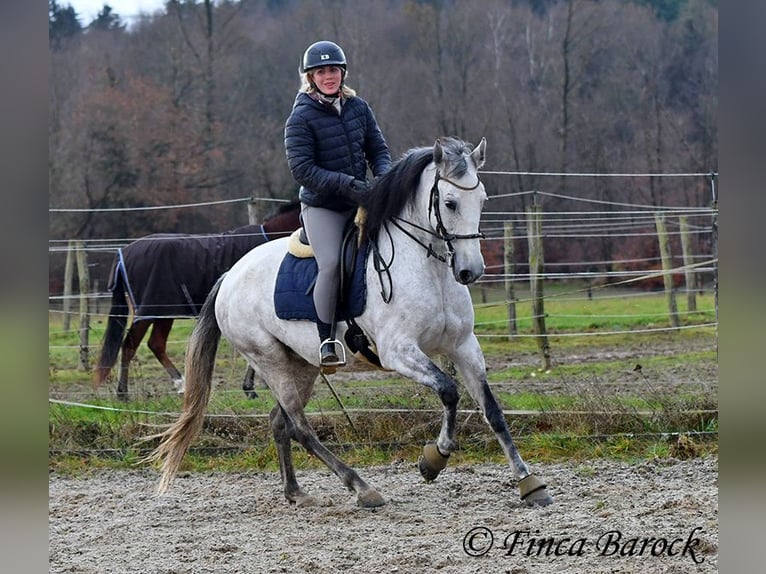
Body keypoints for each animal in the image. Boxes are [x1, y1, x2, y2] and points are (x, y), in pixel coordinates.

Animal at [94, 202, 302, 400]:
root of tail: (123, 252)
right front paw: (252, 388)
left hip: (164, 313)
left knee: (155, 344)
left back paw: (180, 385)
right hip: (149, 312)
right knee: (130, 346)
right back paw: (124, 393)